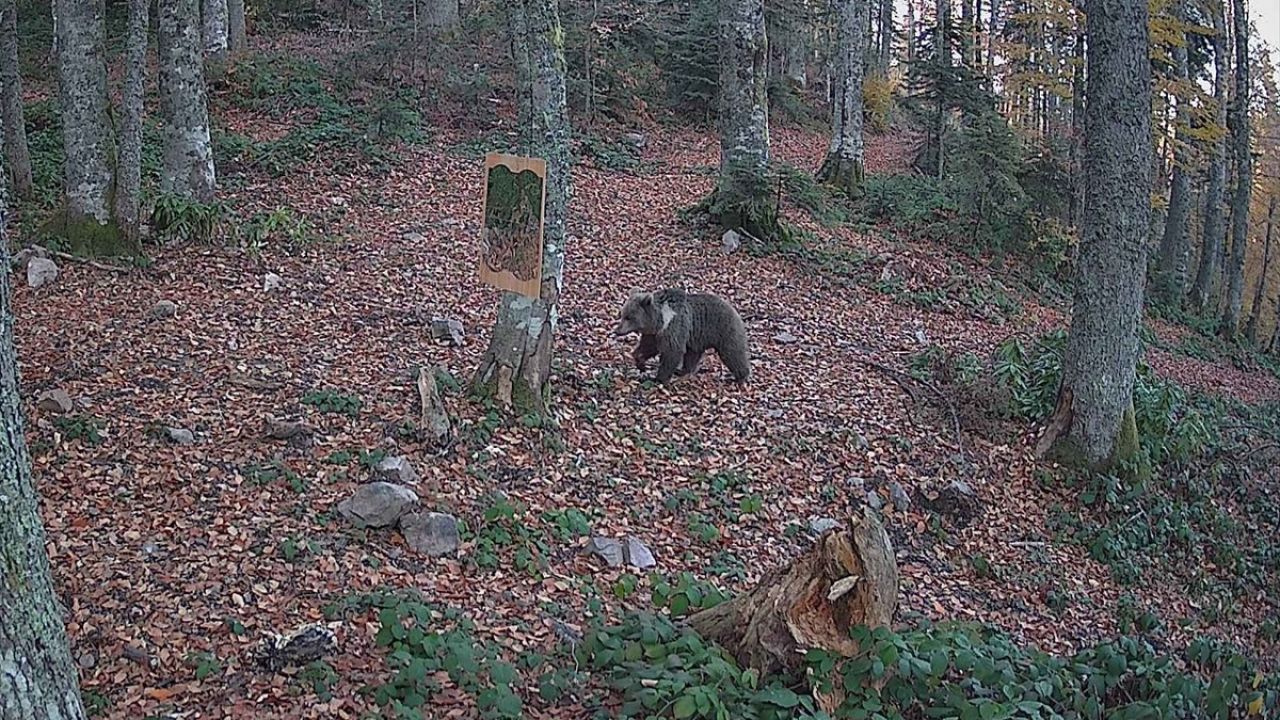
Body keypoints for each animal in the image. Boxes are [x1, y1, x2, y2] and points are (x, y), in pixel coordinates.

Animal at [609, 285, 747, 381]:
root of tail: (732, 307)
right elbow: (648, 347)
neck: (660, 320)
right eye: (622, 314)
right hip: (697, 337)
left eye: (629, 317)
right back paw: (683, 371)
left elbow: (672, 351)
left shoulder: (673, 327)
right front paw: (640, 363)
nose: (617, 330)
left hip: (723, 328)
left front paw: (659, 378)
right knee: (692, 354)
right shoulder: (654, 334)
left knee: (733, 352)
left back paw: (741, 376)